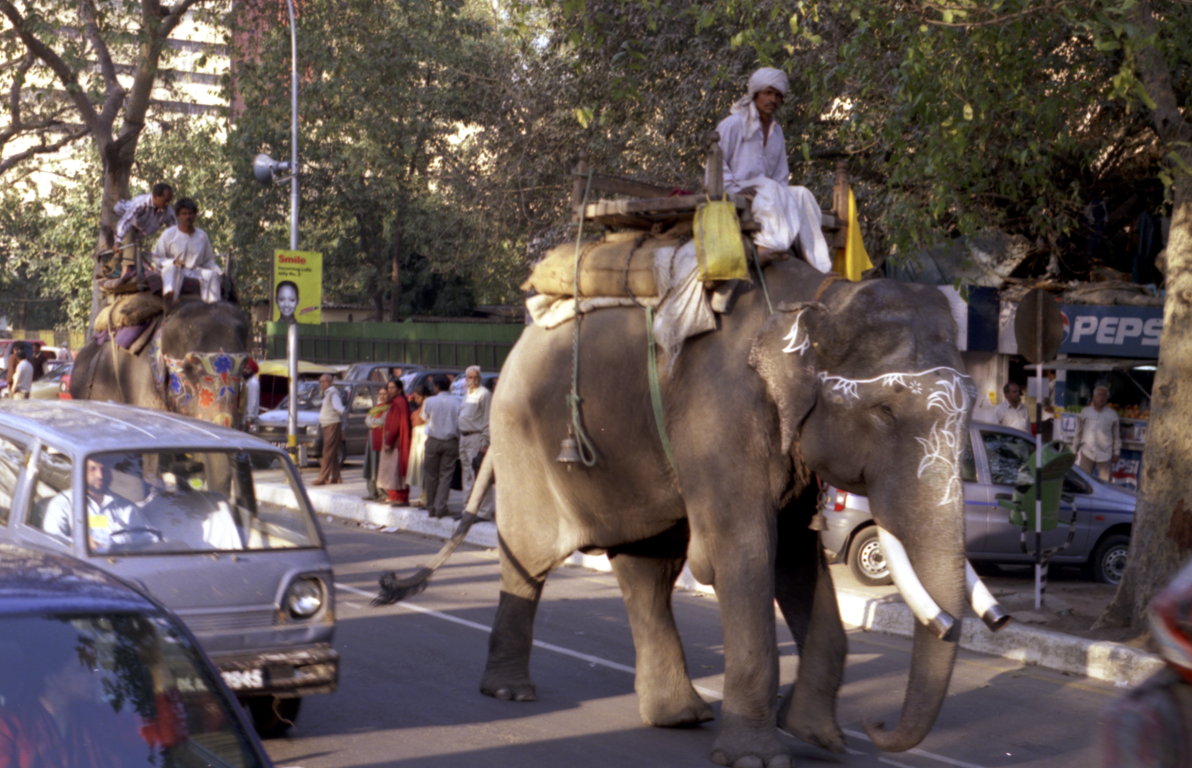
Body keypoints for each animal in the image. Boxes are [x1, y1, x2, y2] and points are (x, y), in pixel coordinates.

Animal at [374, 255, 1006, 763]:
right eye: (884, 412)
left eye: (972, 407)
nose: (874, 726)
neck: (822, 296)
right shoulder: (720, 416)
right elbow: (741, 554)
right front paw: (757, 757)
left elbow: (795, 556)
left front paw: (818, 738)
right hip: (522, 442)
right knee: (530, 559)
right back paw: (511, 692)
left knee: (648, 569)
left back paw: (678, 716)